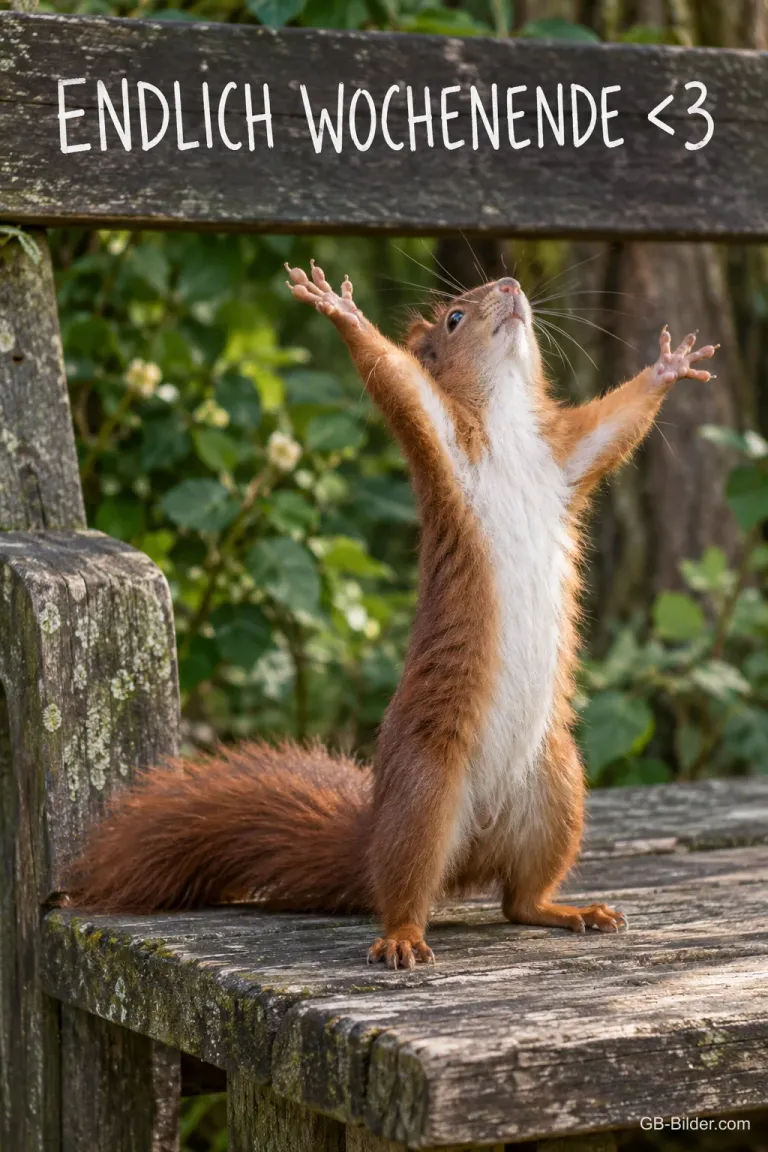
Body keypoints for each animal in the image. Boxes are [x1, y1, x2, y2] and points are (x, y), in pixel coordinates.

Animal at [66, 260, 717, 969]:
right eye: (455, 317)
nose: (512, 286)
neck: (509, 423)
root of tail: (468, 844)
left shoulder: (564, 459)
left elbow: (614, 424)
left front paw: (668, 366)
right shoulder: (441, 439)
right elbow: (394, 379)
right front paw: (340, 311)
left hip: (558, 790)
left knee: (519, 901)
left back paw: (569, 910)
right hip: (425, 796)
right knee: (408, 889)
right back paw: (403, 936)